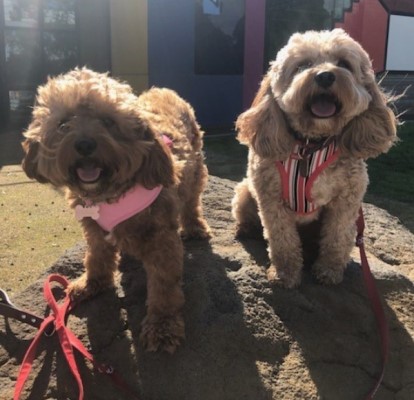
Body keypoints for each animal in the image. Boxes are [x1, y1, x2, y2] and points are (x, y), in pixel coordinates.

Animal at [21, 69, 210, 354]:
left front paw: (162, 326)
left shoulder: (161, 240)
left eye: (108, 121)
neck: (108, 195)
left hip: (196, 168)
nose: (85, 144)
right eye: (63, 124)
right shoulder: (94, 230)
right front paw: (91, 283)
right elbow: (97, 258)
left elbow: (164, 287)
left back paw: (195, 226)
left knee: (191, 201)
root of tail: (162, 90)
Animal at [233, 29, 398, 290]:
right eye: (303, 65)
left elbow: (337, 237)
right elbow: (282, 240)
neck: (310, 146)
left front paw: (329, 270)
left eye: (344, 64)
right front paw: (285, 273)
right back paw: (244, 228)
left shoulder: (346, 202)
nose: (325, 76)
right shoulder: (271, 199)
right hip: (244, 192)